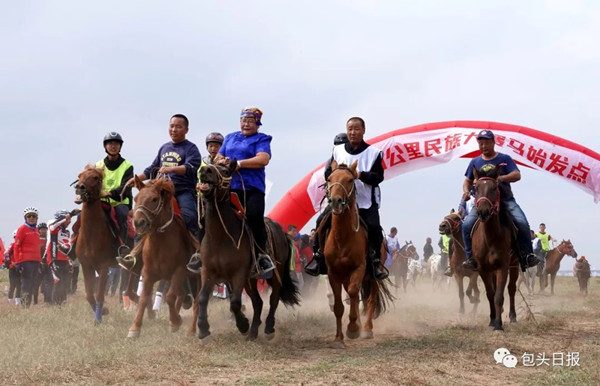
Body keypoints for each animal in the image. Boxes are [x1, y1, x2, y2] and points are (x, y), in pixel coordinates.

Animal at [74, 164, 134, 322]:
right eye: (79, 175)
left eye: (96, 177)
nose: (79, 187)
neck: (91, 236)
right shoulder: (86, 265)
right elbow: (89, 294)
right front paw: (104, 311)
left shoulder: (104, 266)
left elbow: (100, 293)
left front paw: (98, 318)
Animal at [126, 177, 199, 338]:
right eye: (136, 198)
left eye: (154, 199)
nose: (138, 222)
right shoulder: (147, 272)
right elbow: (144, 297)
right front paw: (135, 328)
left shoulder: (179, 271)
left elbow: (170, 297)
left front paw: (176, 321)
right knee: (183, 295)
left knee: (197, 301)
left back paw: (191, 330)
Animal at [197, 161, 300, 342]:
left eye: (225, 171)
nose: (205, 171)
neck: (220, 237)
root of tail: (281, 230)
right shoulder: (209, 271)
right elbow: (203, 298)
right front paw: (203, 330)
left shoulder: (239, 273)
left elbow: (235, 303)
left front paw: (243, 325)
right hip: (250, 281)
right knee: (258, 302)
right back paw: (253, 333)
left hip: (275, 274)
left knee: (273, 299)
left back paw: (268, 328)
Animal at [322, 160, 392, 346]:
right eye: (329, 179)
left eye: (350, 180)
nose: (336, 201)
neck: (343, 238)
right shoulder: (333, 273)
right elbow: (339, 305)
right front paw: (339, 338)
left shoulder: (359, 268)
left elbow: (354, 293)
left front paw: (353, 328)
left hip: (374, 277)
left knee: (370, 299)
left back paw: (366, 329)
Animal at [472, 164, 516, 330]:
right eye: (476, 187)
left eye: (494, 187)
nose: (483, 212)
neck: (490, 237)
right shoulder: (483, 268)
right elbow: (490, 294)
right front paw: (492, 321)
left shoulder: (503, 266)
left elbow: (499, 295)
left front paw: (498, 324)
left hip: (515, 265)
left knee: (511, 289)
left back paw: (512, 316)